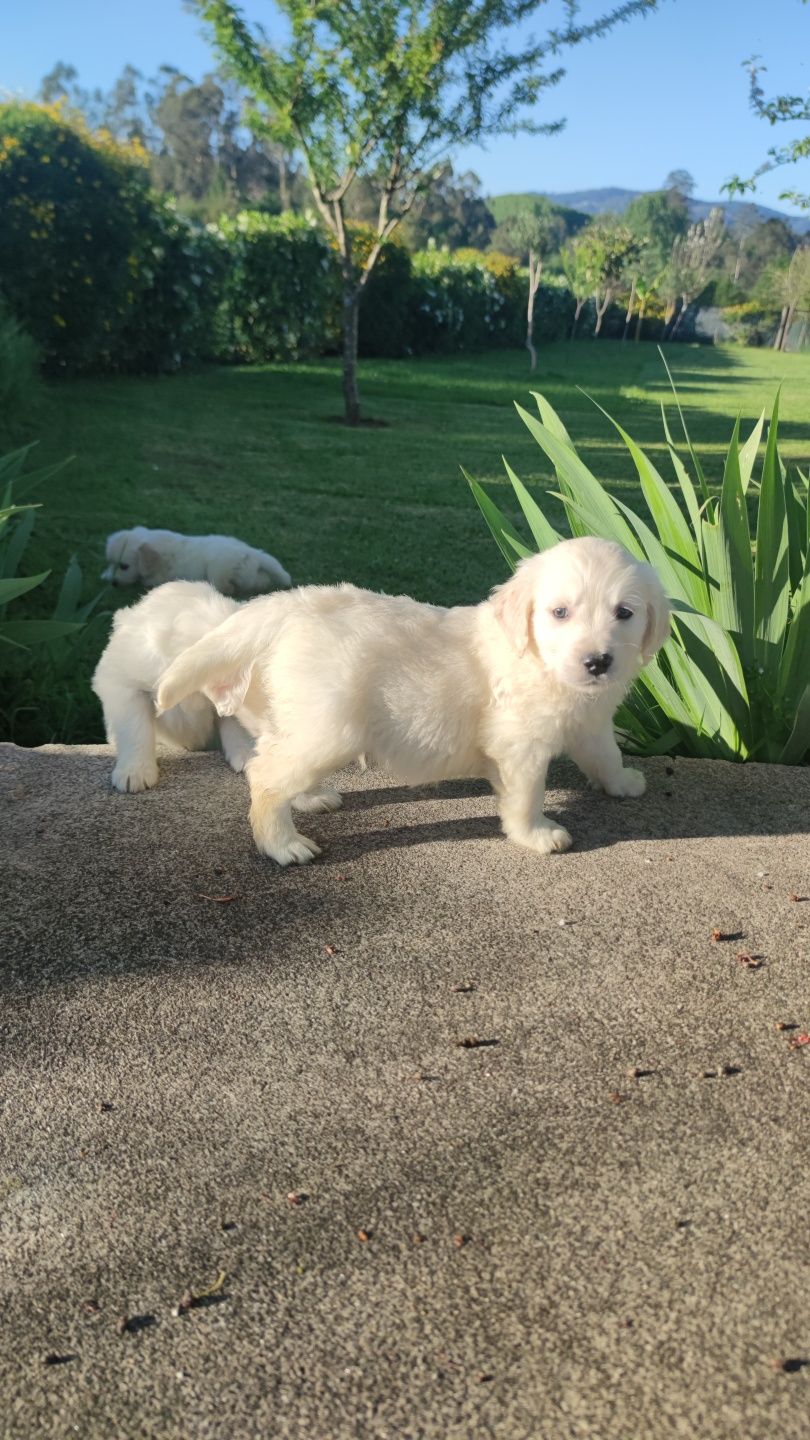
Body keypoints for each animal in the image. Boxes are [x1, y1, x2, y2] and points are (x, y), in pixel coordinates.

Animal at [100, 527, 289, 593]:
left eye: (124, 566)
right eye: (111, 563)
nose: (113, 583)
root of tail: (252, 552)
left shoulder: (156, 577)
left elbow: (144, 581)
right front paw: (105, 575)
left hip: (218, 570)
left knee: (228, 587)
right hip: (250, 573)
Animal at [156, 538, 668, 864]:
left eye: (624, 613)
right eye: (560, 612)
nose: (598, 662)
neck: (538, 661)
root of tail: (290, 604)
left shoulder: (592, 723)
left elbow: (605, 754)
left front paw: (622, 782)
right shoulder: (518, 747)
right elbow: (526, 796)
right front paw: (535, 835)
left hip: (297, 719)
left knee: (273, 759)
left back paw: (310, 797)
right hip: (329, 729)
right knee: (264, 775)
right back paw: (282, 845)